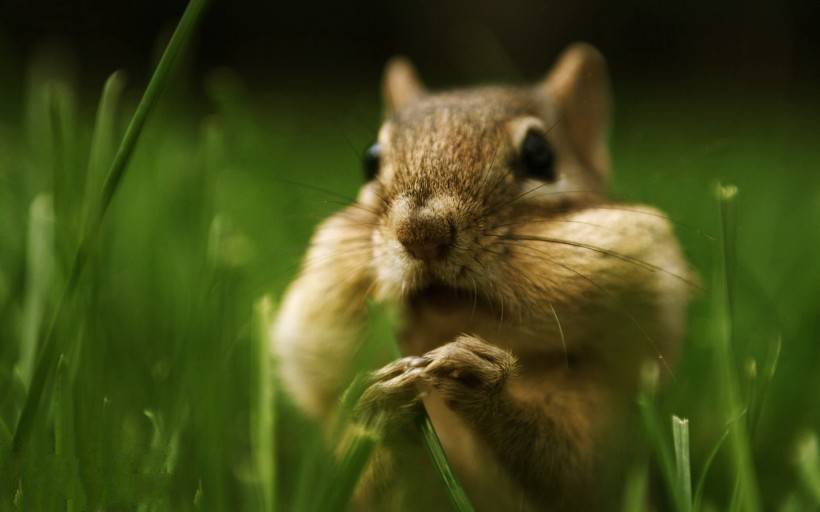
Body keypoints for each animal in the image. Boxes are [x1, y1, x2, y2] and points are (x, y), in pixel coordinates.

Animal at [274, 43, 692, 508]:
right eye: (369, 159)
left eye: (540, 154)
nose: (422, 232)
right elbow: (363, 486)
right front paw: (381, 409)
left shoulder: (597, 427)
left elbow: (567, 468)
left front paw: (483, 381)